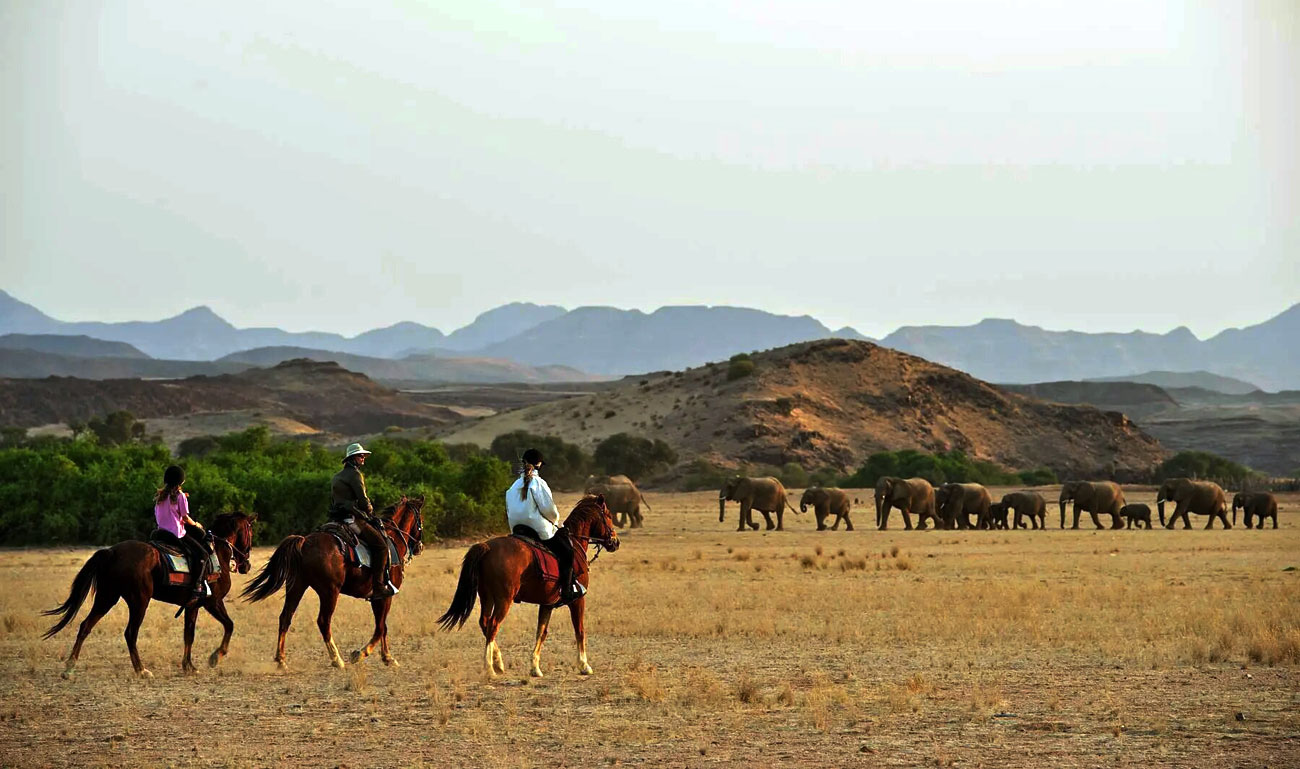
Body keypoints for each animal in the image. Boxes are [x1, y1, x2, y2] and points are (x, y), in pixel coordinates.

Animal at [45, 514, 256, 675]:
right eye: (250, 532)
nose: (246, 565)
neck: (216, 553)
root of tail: (112, 552)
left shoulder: (192, 606)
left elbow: (189, 634)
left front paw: (188, 666)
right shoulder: (213, 602)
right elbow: (229, 625)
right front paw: (215, 657)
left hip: (107, 598)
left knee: (85, 626)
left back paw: (70, 666)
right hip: (139, 602)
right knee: (130, 633)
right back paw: (141, 670)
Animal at [244, 498, 426, 665]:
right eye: (420, 519)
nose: (419, 547)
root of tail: (304, 542)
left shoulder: (378, 598)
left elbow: (383, 627)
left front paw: (387, 657)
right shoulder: (384, 596)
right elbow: (380, 627)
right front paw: (362, 653)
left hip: (297, 587)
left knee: (285, 617)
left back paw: (281, 659)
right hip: (330, 592)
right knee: (323, 621)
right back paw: (337, 659)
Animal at [436, 496, 618, 675]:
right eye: (608, 516)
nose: (615, 542)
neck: (574, 543)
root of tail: (487, 547)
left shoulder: (547, 604)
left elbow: (541, 632)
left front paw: (535, 667)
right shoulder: (577, 600)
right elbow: (579, 630)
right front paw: (584, 665)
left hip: (487, 597)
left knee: (485, 623)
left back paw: (498, 662)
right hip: (503, 599)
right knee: (493, 625)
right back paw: (489, 668)